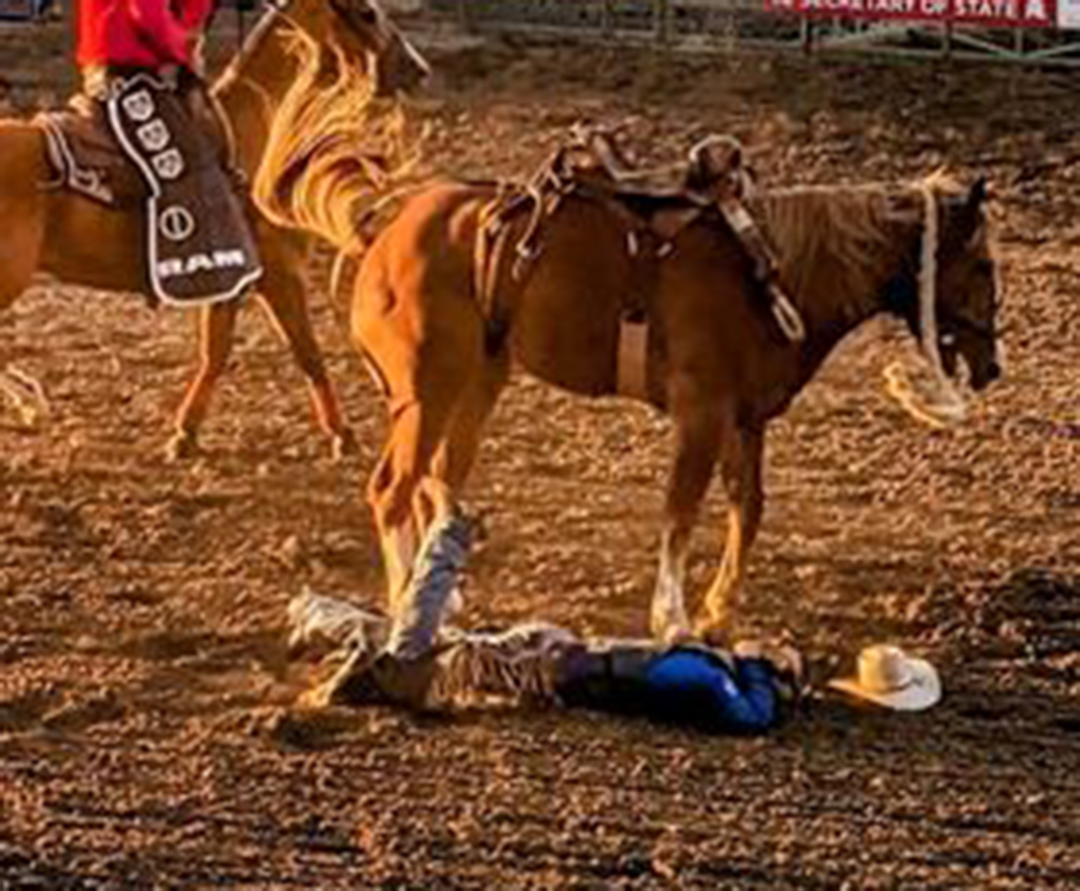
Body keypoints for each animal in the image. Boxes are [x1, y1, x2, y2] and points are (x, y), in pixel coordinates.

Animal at [0, 0, 427, 457]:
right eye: (367, 13)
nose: (418, 69)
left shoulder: (233, 284)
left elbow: (217, 353)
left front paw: (185, 433)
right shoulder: (276, 275)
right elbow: (304, 351)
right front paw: (343, 434)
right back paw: (30, 400)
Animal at [257, 104, 997, 635]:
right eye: (985, 265)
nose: (992, 365)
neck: (772, 270)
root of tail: (385, 229)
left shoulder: (745, 419)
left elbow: (748, 506)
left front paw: (719, 611)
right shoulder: (702, 415)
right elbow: (680, 510)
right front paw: (674, 619)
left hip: (477, 381)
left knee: (435, 479)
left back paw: (441, 590)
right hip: (426, 388)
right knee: (392, 486)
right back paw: (407, 604)